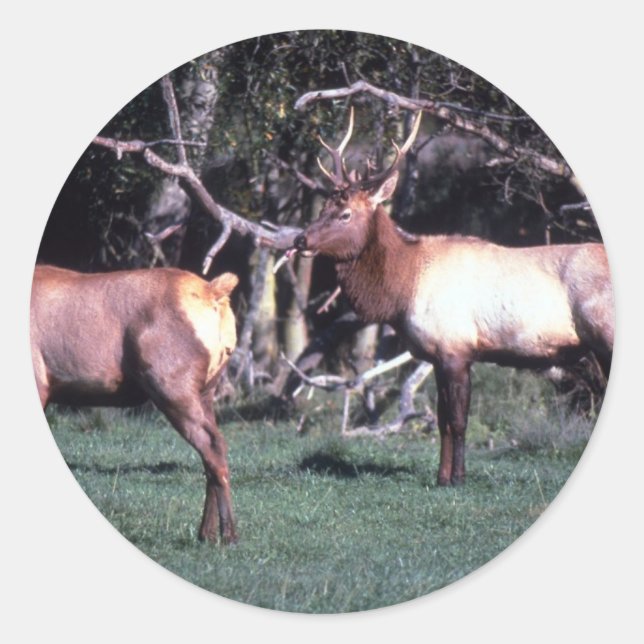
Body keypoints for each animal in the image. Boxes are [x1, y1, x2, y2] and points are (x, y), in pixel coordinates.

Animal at [30, 264, 240, 543]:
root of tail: (213, 291)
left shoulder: (39, 382)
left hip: (171, 386)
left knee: (213, 446)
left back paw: (228, 535)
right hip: (206, 390)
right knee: (211, 454)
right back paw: (206, 533)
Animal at [290, 109, 614, 486]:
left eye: (345, 214)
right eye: (322, 208)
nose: (300, 239)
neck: (403, 289)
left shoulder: (456, 350)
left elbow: (458, 421)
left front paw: (458, 477)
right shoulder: (435, 355)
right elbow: (442, 421)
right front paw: (442, 477)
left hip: (604, 335)